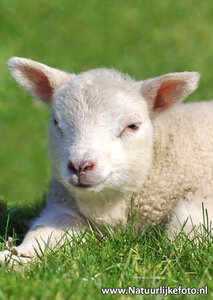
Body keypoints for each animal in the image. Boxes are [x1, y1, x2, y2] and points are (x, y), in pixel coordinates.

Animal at [0, 57, 212, 266]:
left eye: (132, 126)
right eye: (56, 122)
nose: (80, 166)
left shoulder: (201, 194)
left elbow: (184, 236)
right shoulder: (64, 207)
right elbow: (43, 234)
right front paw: (16, 257)